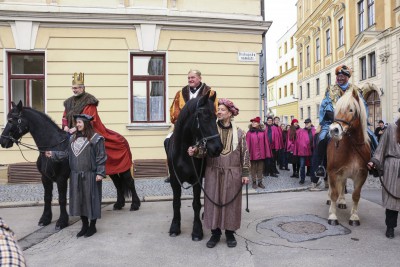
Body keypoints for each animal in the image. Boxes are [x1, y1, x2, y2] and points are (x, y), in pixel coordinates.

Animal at [0, 101, 141, 231]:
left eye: (11, 120)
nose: (3, 141)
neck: (53, 146)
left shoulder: (61, 178)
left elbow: (62, 199)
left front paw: (62, 221)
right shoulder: (45, 178)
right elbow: (47, 197)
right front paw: (45, 219)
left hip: (124, 169)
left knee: (129, 181)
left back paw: (135, 204)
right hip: (110, 170)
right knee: (117, 183)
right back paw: (119, 204)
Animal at [165, 91, 223, 242]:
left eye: (216, 116)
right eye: (205, 116)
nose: (217, 148)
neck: (184, 152)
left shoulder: (197, 180)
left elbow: (196, 204)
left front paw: (197, 230)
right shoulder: (174, 181)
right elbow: (176, 203)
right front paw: (175, 227)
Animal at [326, 88, 370, 226]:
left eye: (351, 109)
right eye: (337, 109)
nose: (333, 130)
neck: (353, 148)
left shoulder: (362, 174)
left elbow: (356, 195)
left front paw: (354, 217)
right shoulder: (333, 172)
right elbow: (334, 193)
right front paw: (332, 216)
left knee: (343, 184)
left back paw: (342, 201)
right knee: (332, 188)